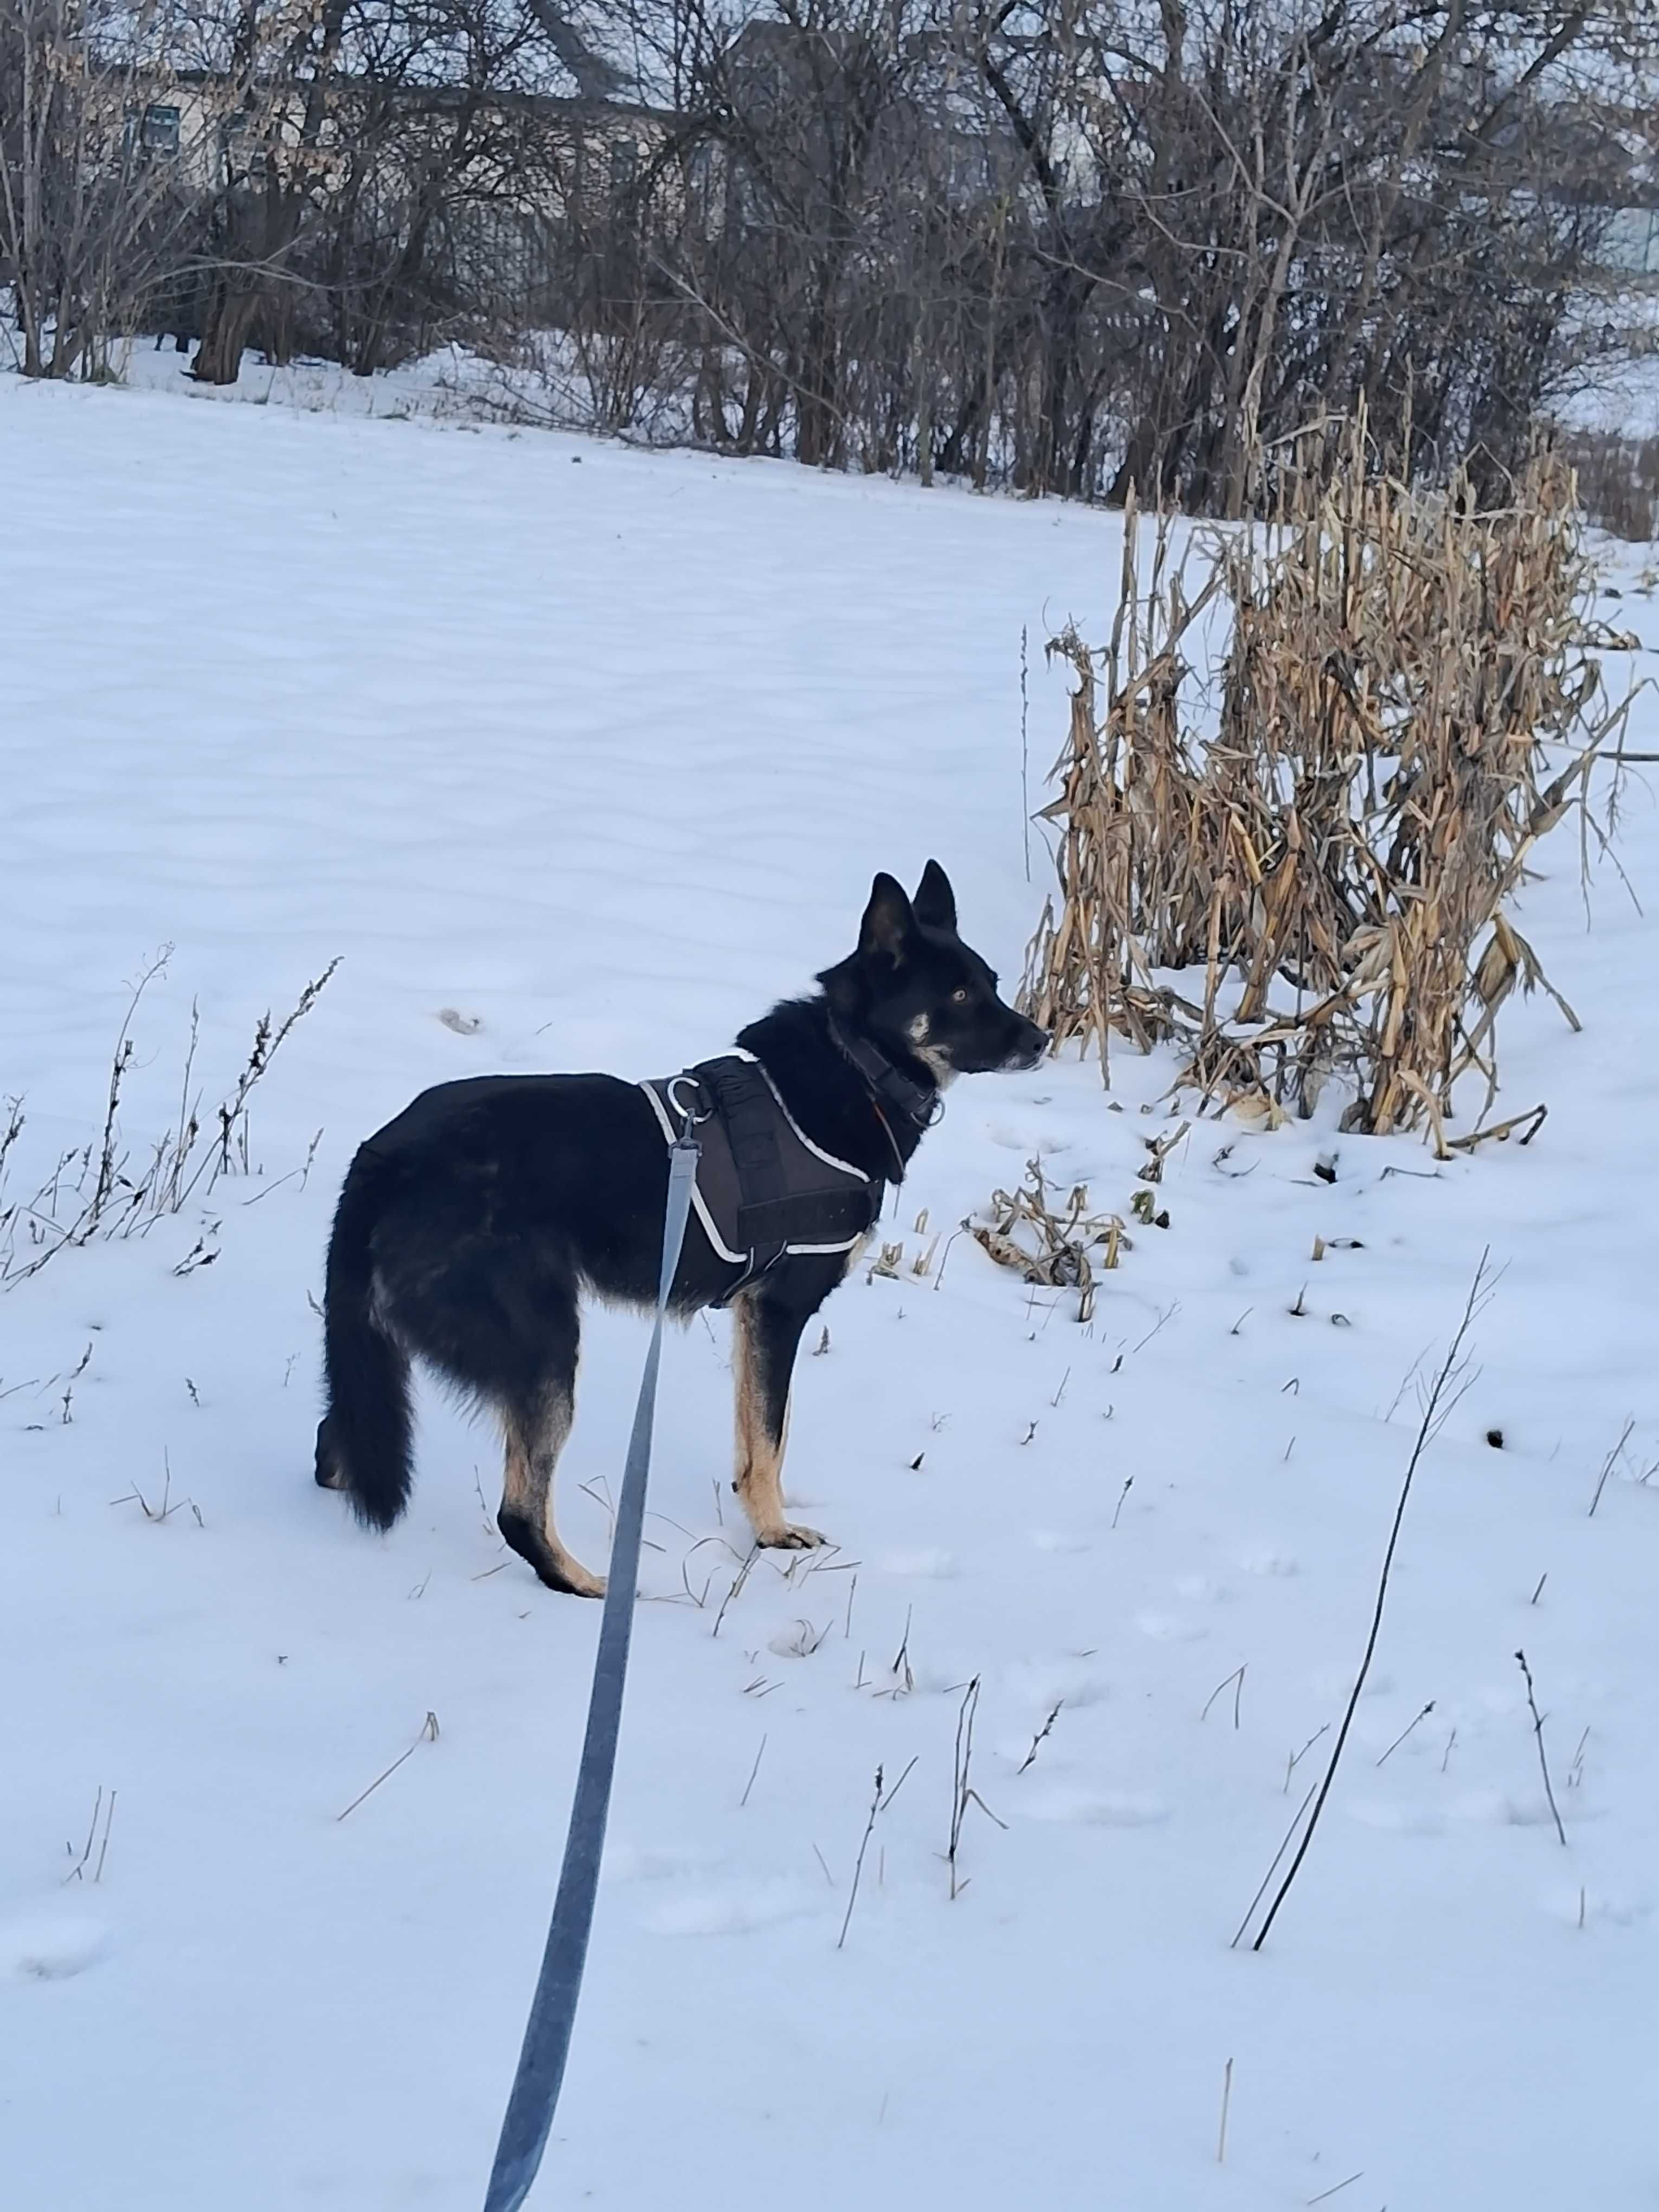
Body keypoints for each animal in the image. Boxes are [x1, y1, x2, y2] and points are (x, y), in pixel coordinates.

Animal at [316, 853, 1044, 1601]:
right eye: (958, 995)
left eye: (990, 983)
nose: (1042, 1038)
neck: (857, 1063)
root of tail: (382, 1159)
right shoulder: (781, 1312)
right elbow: (770, 1439)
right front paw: (773, 1536)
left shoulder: (753, 1316)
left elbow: (758, 1436)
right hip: (544, 1349)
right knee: (519, 1510)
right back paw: (586, 1583)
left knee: (336, 1439)